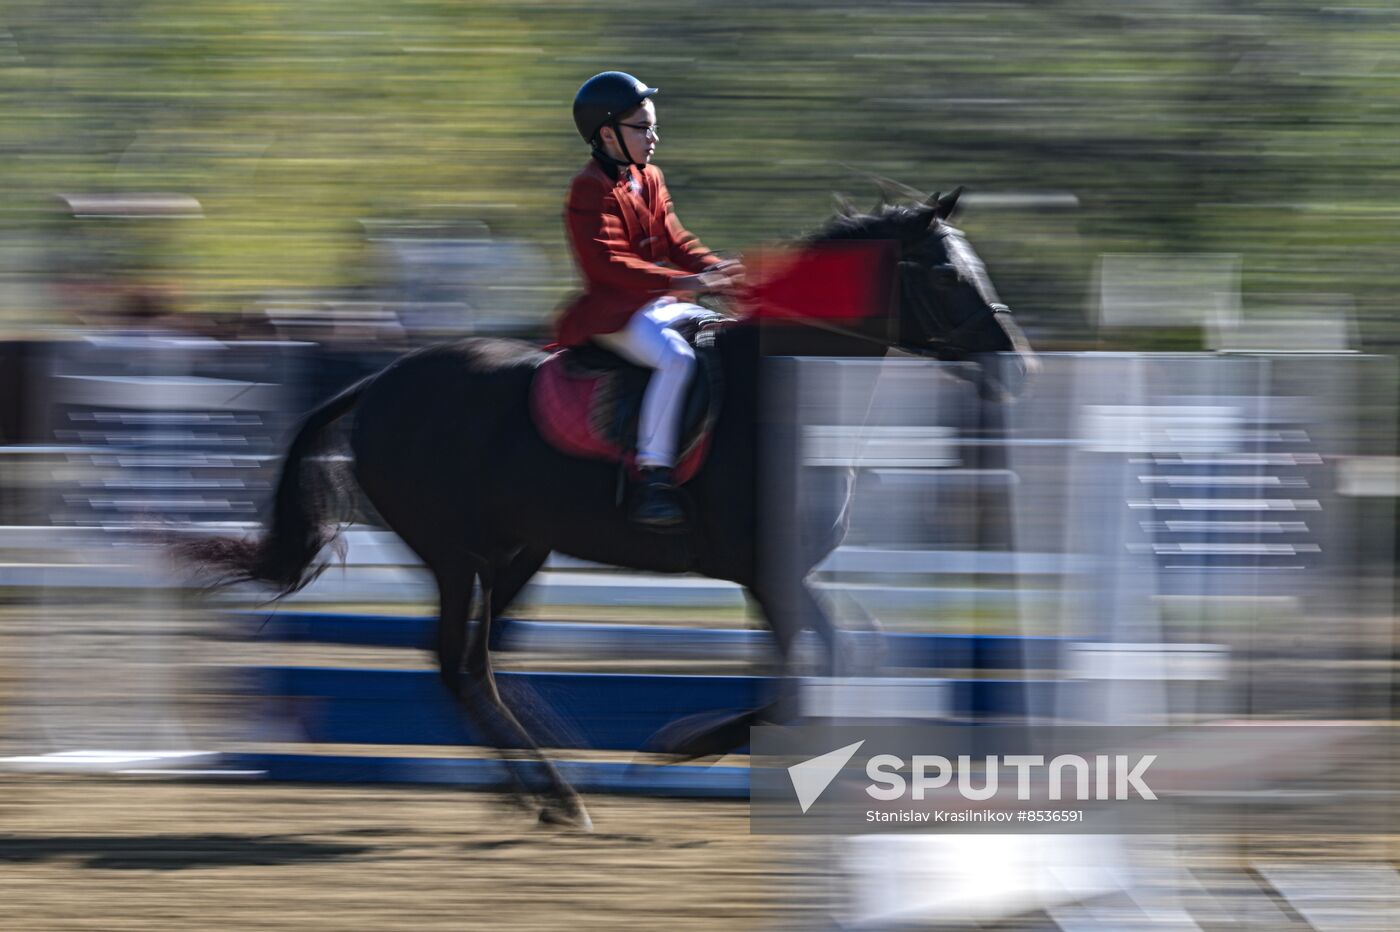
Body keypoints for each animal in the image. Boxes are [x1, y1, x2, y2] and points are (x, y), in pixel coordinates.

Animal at [183, 184, 1030, 822]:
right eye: (946, 275)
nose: (1018, 369)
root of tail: (382, 381)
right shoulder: (766, 572)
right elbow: (805, 675)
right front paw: (682, 745)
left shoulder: (792, 573)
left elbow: (855, 654)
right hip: (454, 554)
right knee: (457, 663)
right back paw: (555, 793)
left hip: (517, 551)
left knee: (482, 663)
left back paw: (542, 789)